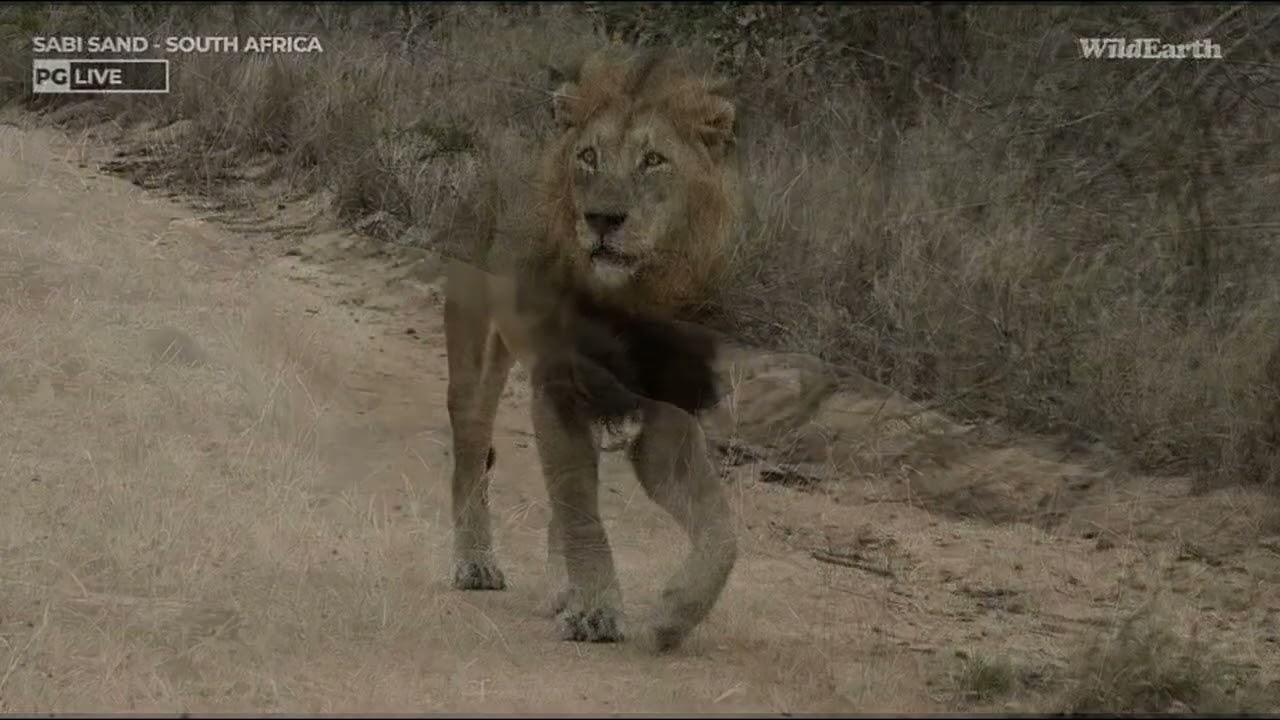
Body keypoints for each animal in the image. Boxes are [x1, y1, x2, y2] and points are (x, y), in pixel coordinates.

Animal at [442, 45, 743, 652]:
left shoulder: (668, 416)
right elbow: (581, 511)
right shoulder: (560, 388)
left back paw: (561, 584)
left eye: (653, 160)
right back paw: (476, 563)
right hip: (474, 351)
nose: (602, 218)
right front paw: (596, 612)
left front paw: (674, 614)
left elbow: (722, 532)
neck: (634, 297)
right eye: (587, 156)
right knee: (471, 454)